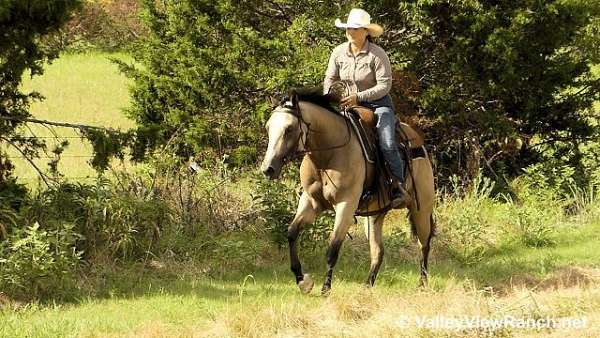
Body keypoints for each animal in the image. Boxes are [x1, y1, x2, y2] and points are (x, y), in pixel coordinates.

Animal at [260, 90, 434, 296]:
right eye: (268, 127)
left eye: (289, 129)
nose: (268, 169)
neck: (328, 157)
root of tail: (419, 144)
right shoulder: (311, 202)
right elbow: (292, 233)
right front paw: (303, 281)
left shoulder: (346, 205)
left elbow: (333, 248)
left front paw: (325, 289)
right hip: (374, 216)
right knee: (378, 251)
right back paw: (367, 286)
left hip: (421, 210)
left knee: (424, 244)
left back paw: (422, 284)